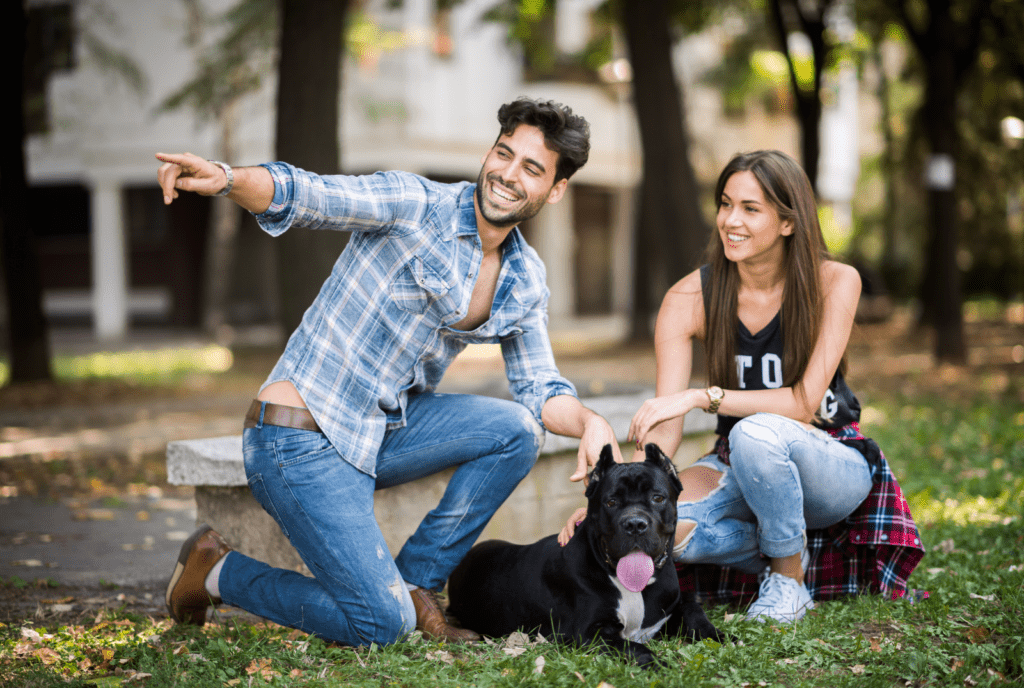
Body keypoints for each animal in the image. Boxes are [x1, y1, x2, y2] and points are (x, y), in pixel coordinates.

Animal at [446, 444, 720, 663]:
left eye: (658, 498)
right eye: (611, 502)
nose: (634, 524)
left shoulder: (672, 607)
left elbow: (695, 613)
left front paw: (719, 636)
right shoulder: (588, 632)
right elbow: (634, 647)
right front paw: (657, 663)